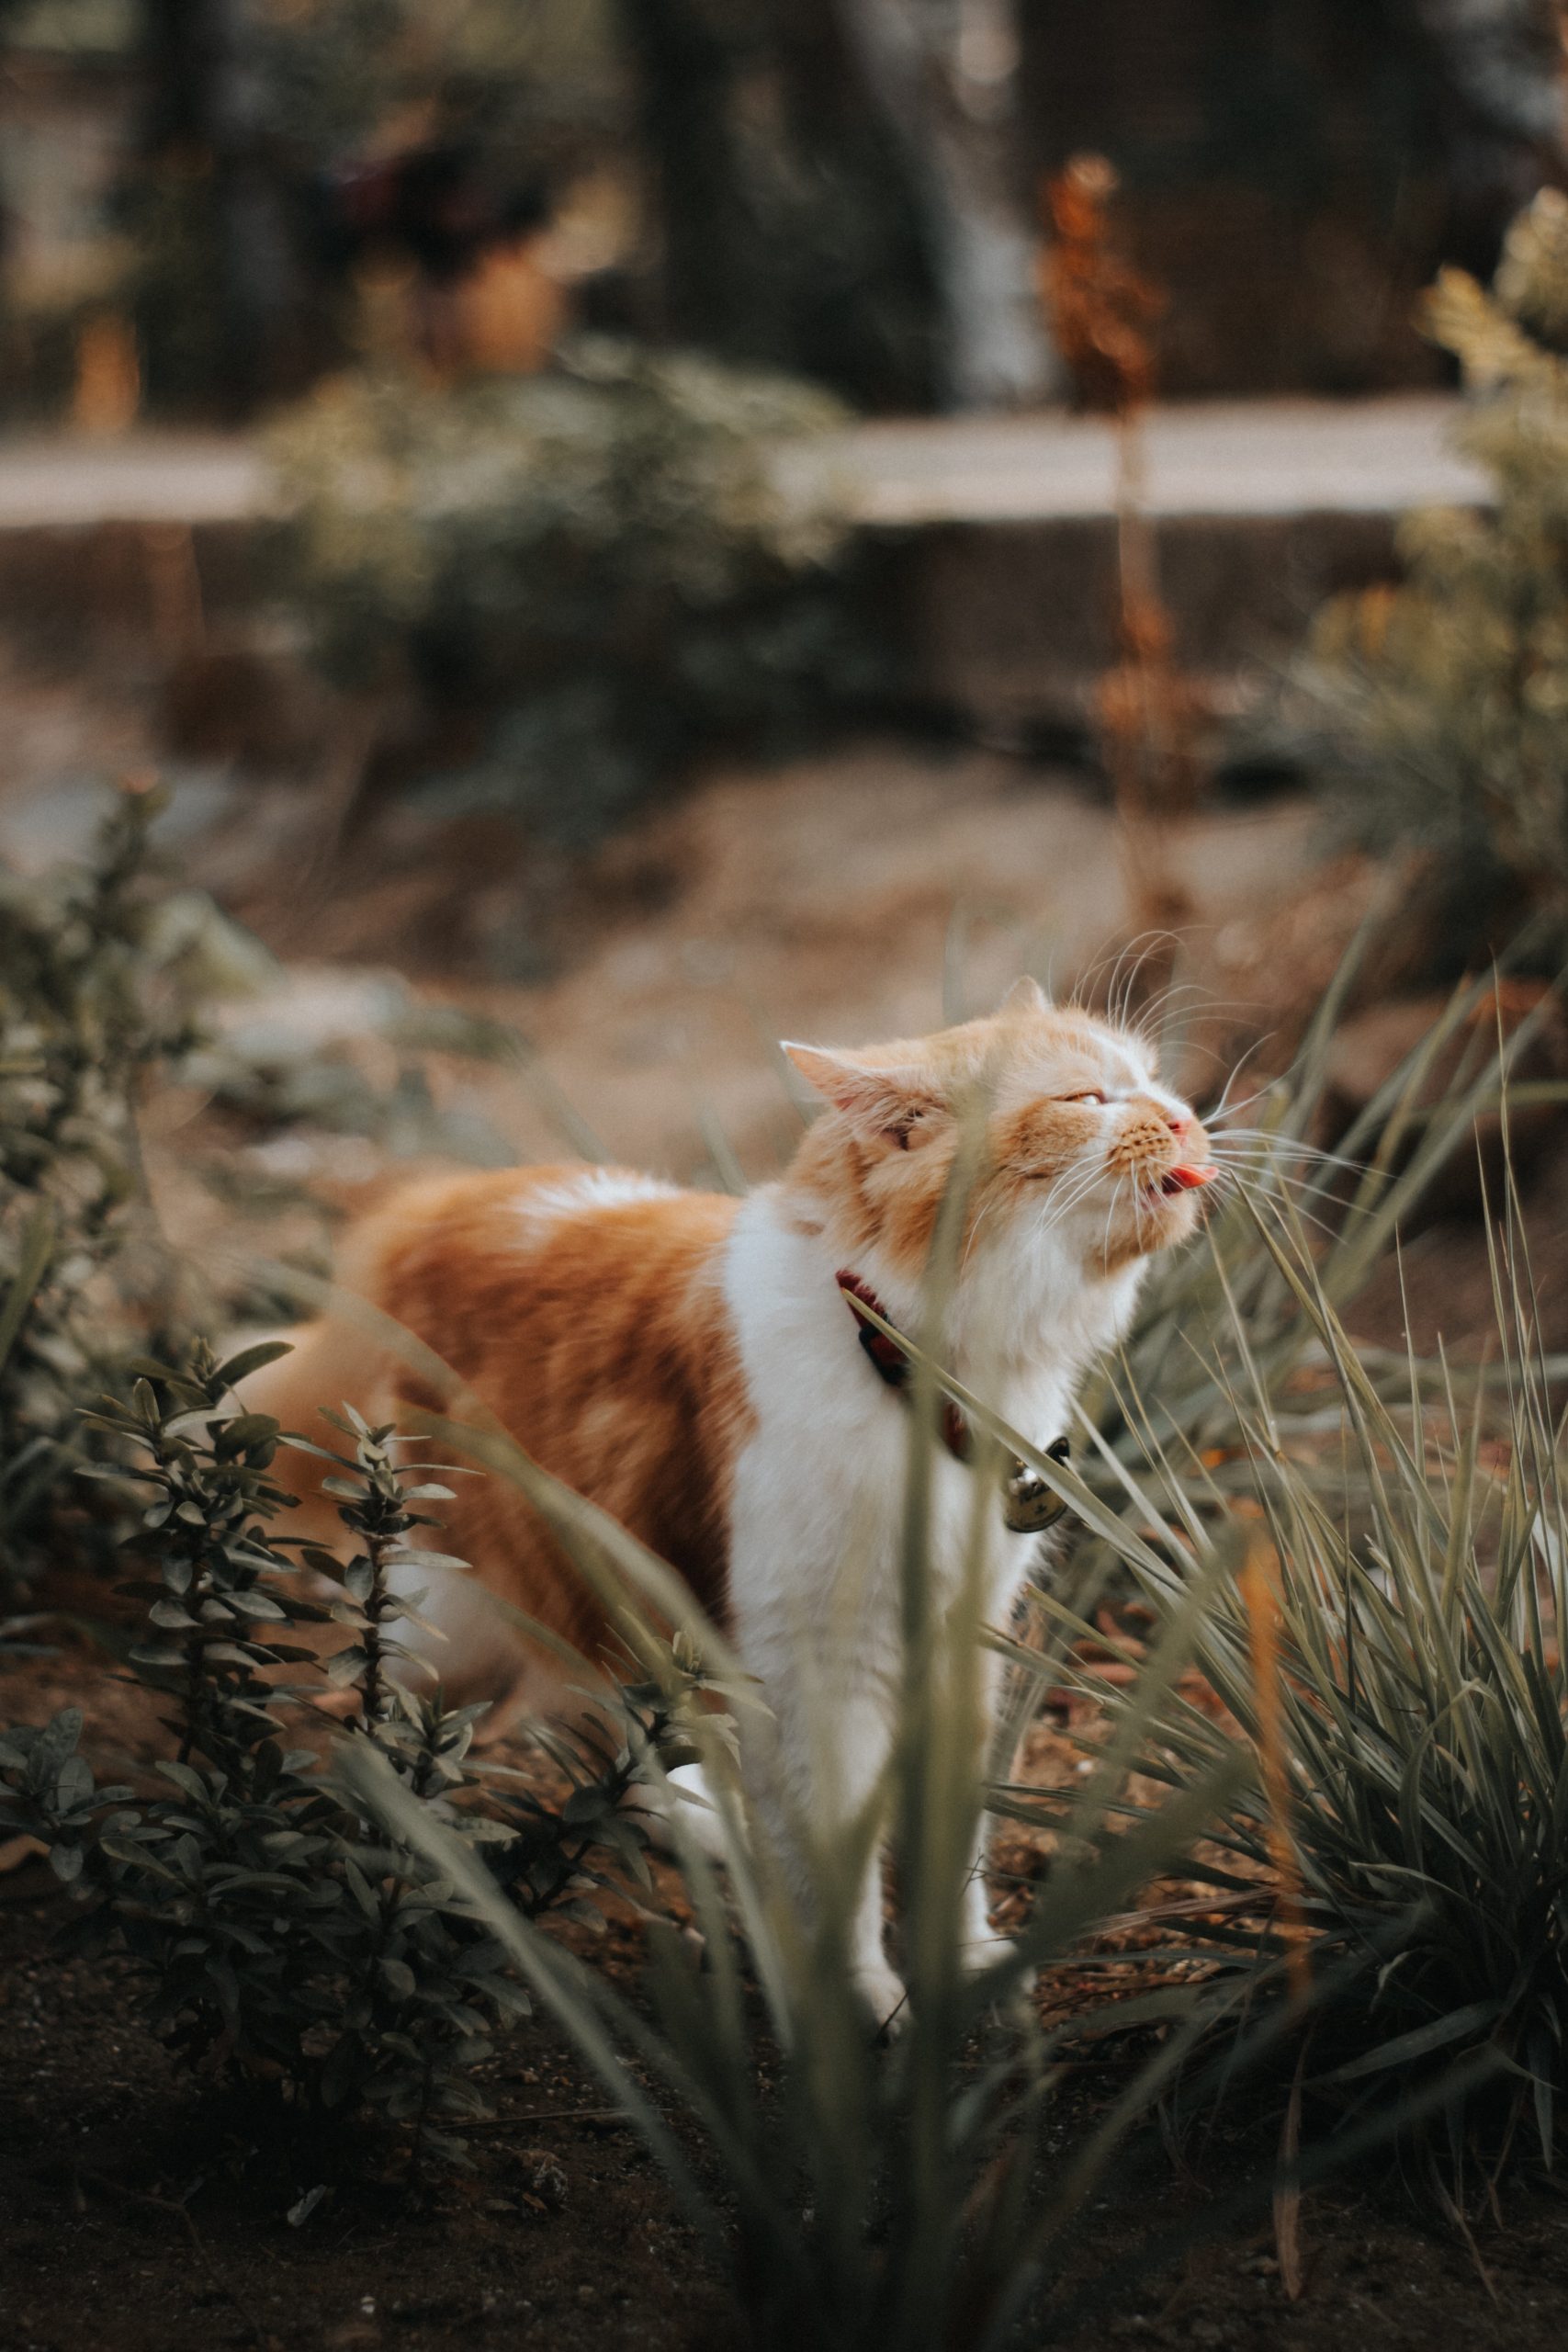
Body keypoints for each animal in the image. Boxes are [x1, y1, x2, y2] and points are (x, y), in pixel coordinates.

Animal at [251, 973, 1222, 2022]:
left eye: (1155, 1082)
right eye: (1086, 1099)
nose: (1184, 1117)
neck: (923, 1378)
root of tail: (436, 1198)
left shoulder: (962, 1645)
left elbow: (952, 1842)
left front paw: (967, 1972)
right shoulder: (812, 1666)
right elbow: (834, 1866)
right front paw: (857, 2007)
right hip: (453, 1621)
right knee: (372, 1721)